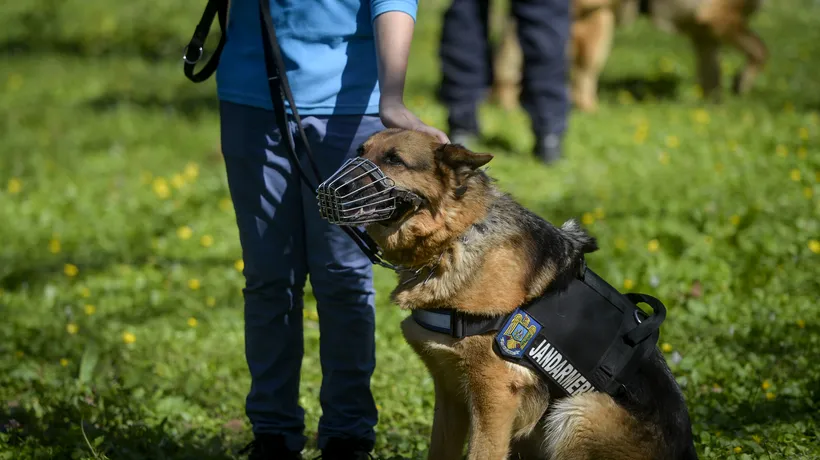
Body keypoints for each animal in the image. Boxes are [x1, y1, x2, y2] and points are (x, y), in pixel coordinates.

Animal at [342, 129, 696, 460]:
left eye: (394, 160)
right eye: (360, 151)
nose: (336, 186)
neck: (454, 239)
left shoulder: (495, 392)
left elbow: (483, 452)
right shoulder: (450, 391)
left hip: (578, 411)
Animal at [494, 0, 768, 112]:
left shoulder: (704, 36)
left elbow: (712, 79)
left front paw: (715, 110)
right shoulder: (719, 19)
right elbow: (761, 50)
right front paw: (741, 83)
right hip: (597, 23)